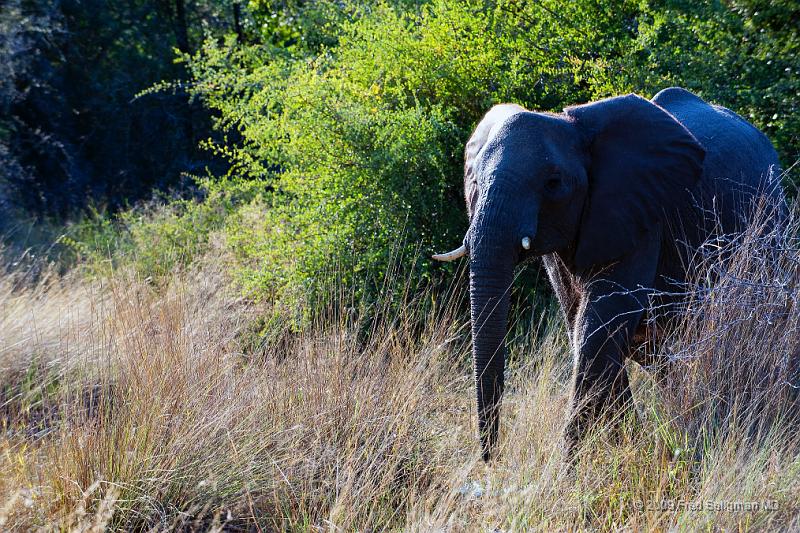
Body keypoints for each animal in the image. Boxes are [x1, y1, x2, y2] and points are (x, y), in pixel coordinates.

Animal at [434, 85, 784, 460]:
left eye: (553, 183)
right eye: (473, 180)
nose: (491, 458)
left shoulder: (641, 213)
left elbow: (600, 326)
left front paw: (568, 469)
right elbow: (584, 325)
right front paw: (626, 448)